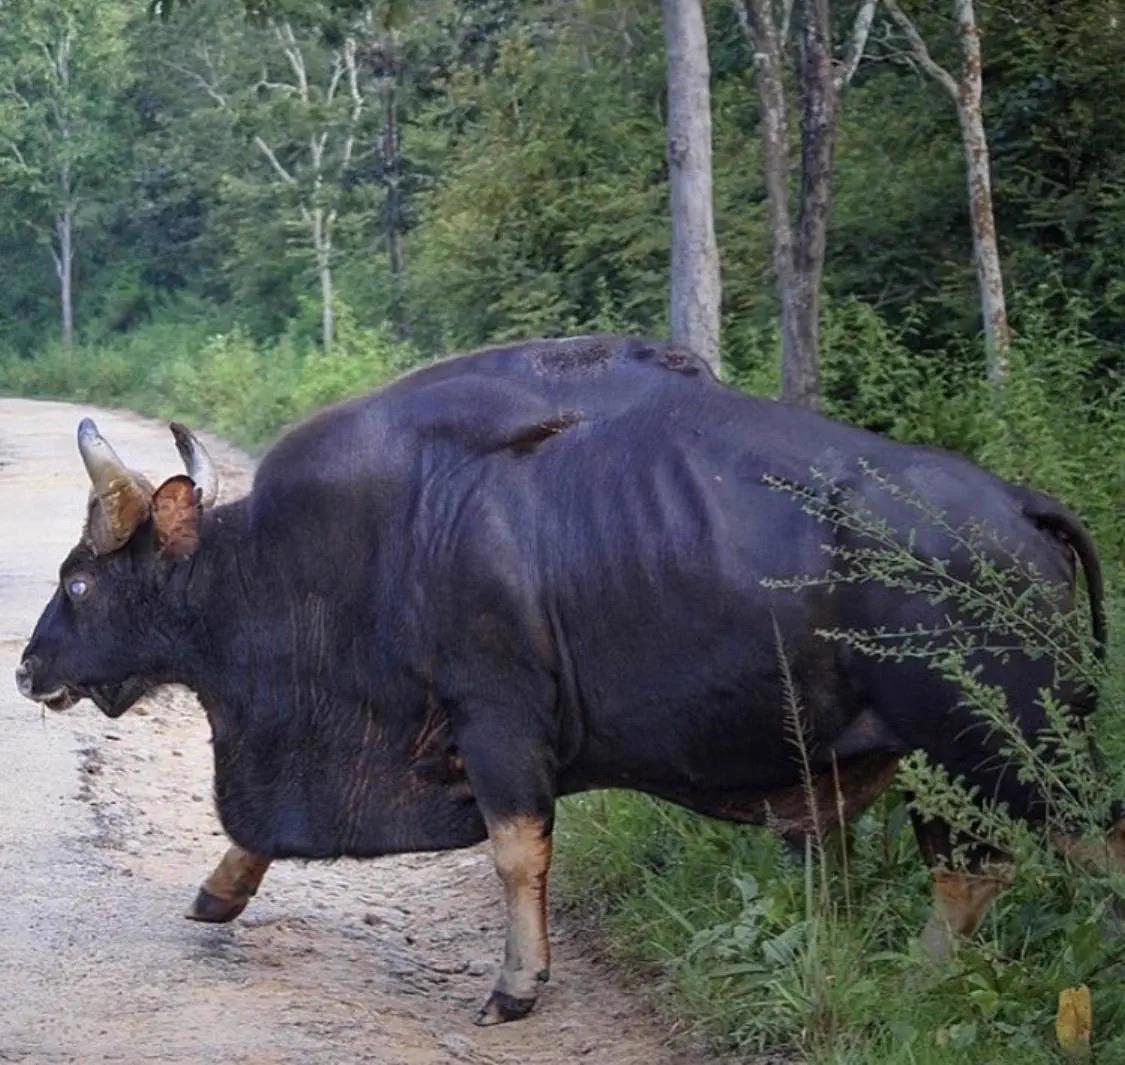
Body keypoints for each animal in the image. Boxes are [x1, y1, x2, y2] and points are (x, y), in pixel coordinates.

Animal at [15, 334, 1120, 1025]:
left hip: (1001, 756)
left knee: (1036, 861)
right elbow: (261, 831)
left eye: (78, 577)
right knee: (974, 876)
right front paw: (217, 893)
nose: (26, 667)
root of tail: (1022, 506)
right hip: (967, 766)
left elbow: (516, 853)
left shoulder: (495, 721)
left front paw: (517, 985)